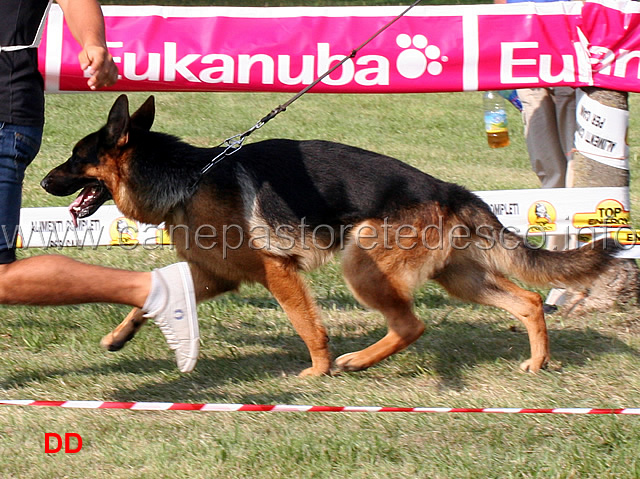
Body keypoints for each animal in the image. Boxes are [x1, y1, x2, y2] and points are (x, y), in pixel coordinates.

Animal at [41, 95, 620, 376]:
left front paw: (316, 373)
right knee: (527, 301)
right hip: (458, 278)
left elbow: (308, 326)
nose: (44, 181)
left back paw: (354, 361)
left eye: (74, 157)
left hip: (362, 267)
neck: (189, 177)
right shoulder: (215, 276)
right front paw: (119, 337)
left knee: (411, 325)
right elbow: (149, 299)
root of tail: (447, 187)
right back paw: (537, 362)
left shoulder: (279, 272)